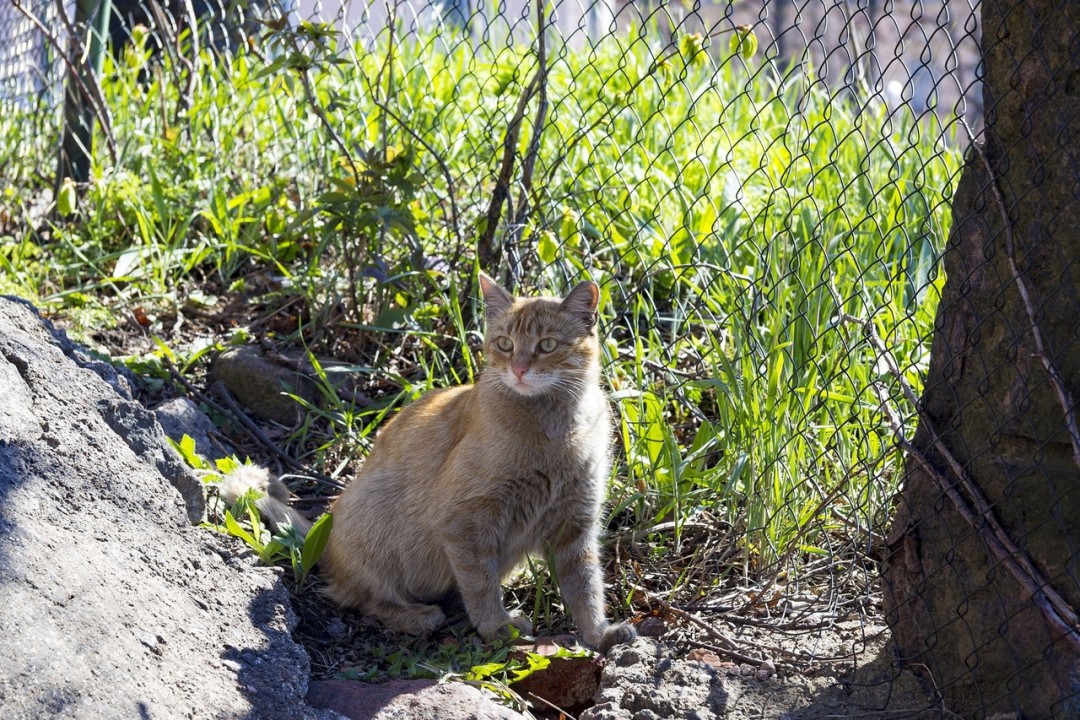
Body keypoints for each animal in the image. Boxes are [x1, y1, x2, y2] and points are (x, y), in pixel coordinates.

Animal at [224, 272, 635, 651]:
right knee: (364, 599)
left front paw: (599, 634)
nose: (519, 369)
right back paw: (418, 616)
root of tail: (322, 536)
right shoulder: (465, 522)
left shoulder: (575, 524)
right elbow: (481, 585)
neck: (553, 430)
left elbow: (586, 588)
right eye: (505, 344)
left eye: (547, 345)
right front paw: (498, 628)